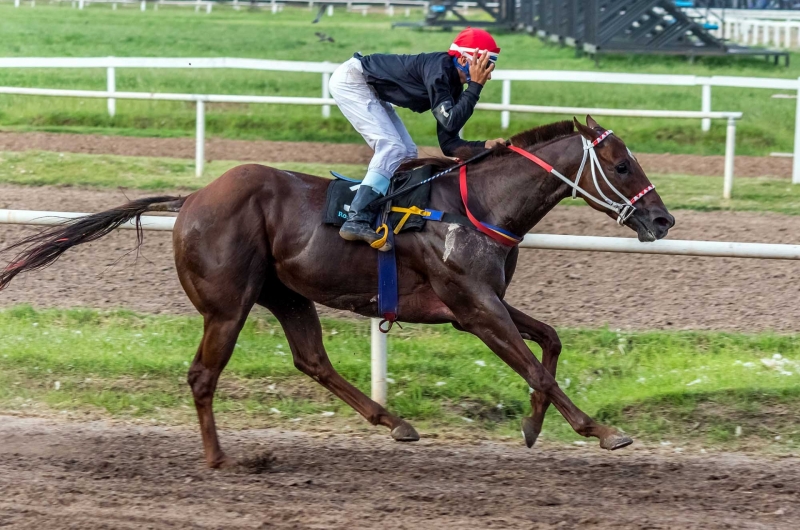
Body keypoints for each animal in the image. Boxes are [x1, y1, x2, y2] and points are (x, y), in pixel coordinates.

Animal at [0, 116, 676, 466]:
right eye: (621, 165)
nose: (663, 220)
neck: (476, 205)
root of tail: (192, 198)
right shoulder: (472, 307)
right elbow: (535, 367)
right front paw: (601, 430)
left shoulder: (481, 302)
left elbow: (551, 341)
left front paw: (535, 427)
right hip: (228, 304)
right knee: (203, 375)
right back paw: (219, 458)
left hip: (287, 293)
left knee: (312, 360)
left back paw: (393, 421)